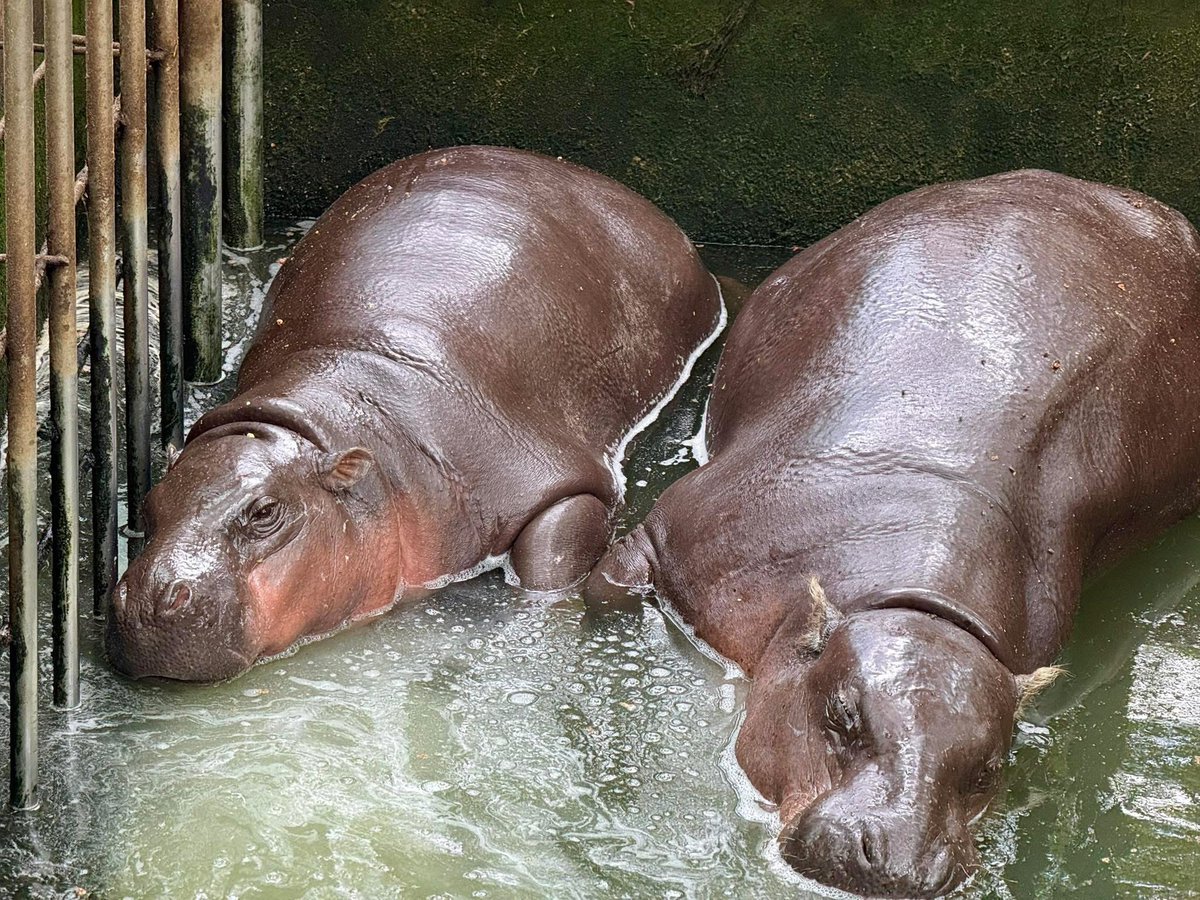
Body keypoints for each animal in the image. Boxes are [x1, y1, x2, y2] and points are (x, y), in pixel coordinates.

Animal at [107, 145, 724, 682]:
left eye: (265, 513)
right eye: (150, 503)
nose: (151, 602)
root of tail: (609, 184)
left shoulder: (550, 477)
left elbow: (548, 562)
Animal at [586, 170, 1200, 897]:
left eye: (989, 769)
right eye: (841, 717)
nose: (902, 862)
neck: (911, 598)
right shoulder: (668, 542)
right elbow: (603, 593)